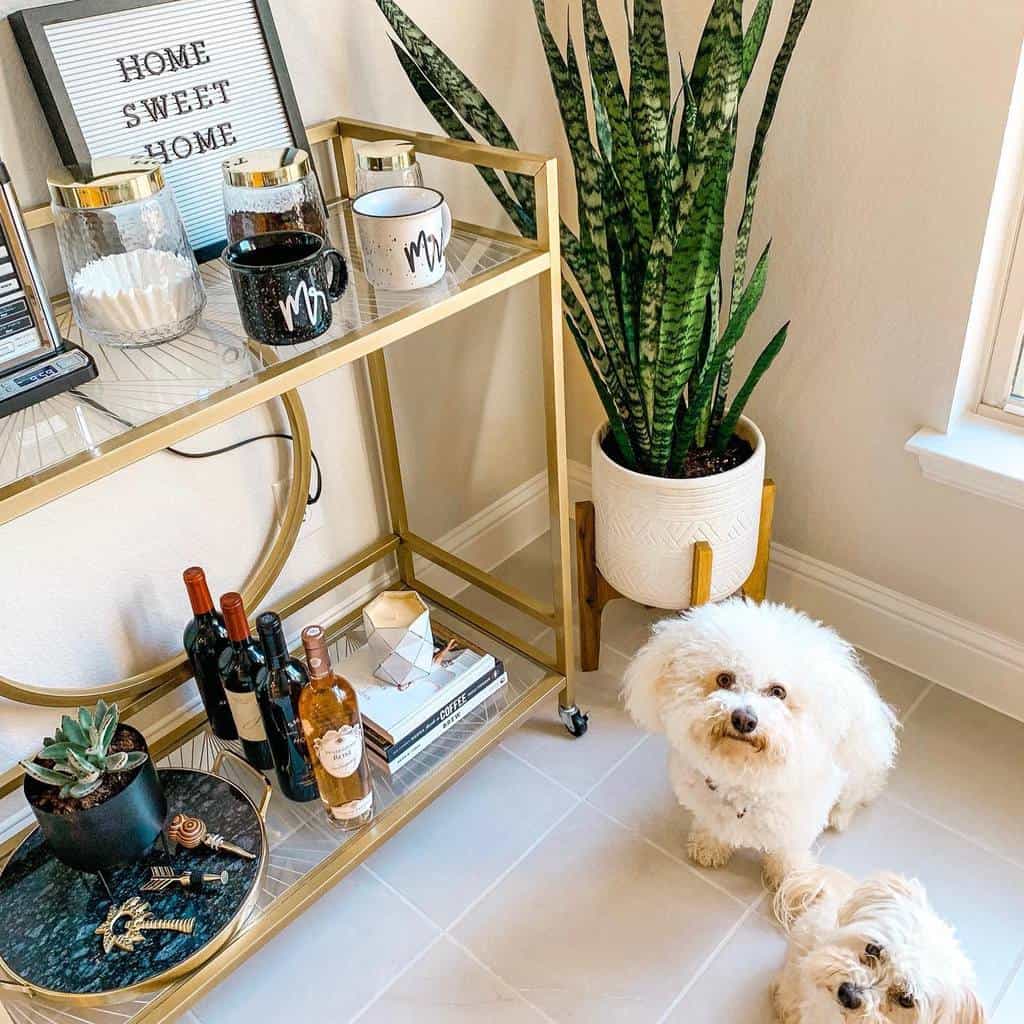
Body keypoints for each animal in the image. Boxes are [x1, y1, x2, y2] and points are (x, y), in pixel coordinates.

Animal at [614, 598, 897, 884]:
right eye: (724, 679)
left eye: (778, 692)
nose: (744, 719)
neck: (745, 778)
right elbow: (713, 824)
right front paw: (709, 846)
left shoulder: (797, 821)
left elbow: (788, 851)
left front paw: (789, 877)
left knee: (856, 795)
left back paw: (839, 816)